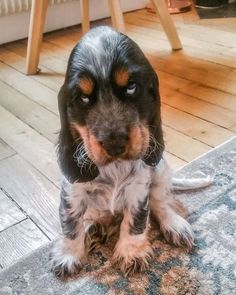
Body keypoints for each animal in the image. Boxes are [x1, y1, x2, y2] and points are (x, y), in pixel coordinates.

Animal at [50, 26, 212, 280]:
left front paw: (131, 251)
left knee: (160, 202)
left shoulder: (139, 186)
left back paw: (174, 225)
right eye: (83, 97)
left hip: (161, 171)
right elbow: (71, 223)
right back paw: (94, 229)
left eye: (131, 87)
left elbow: (136, 219)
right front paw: (69, 254)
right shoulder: (72, 191)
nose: (114, 143)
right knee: (98, 215)